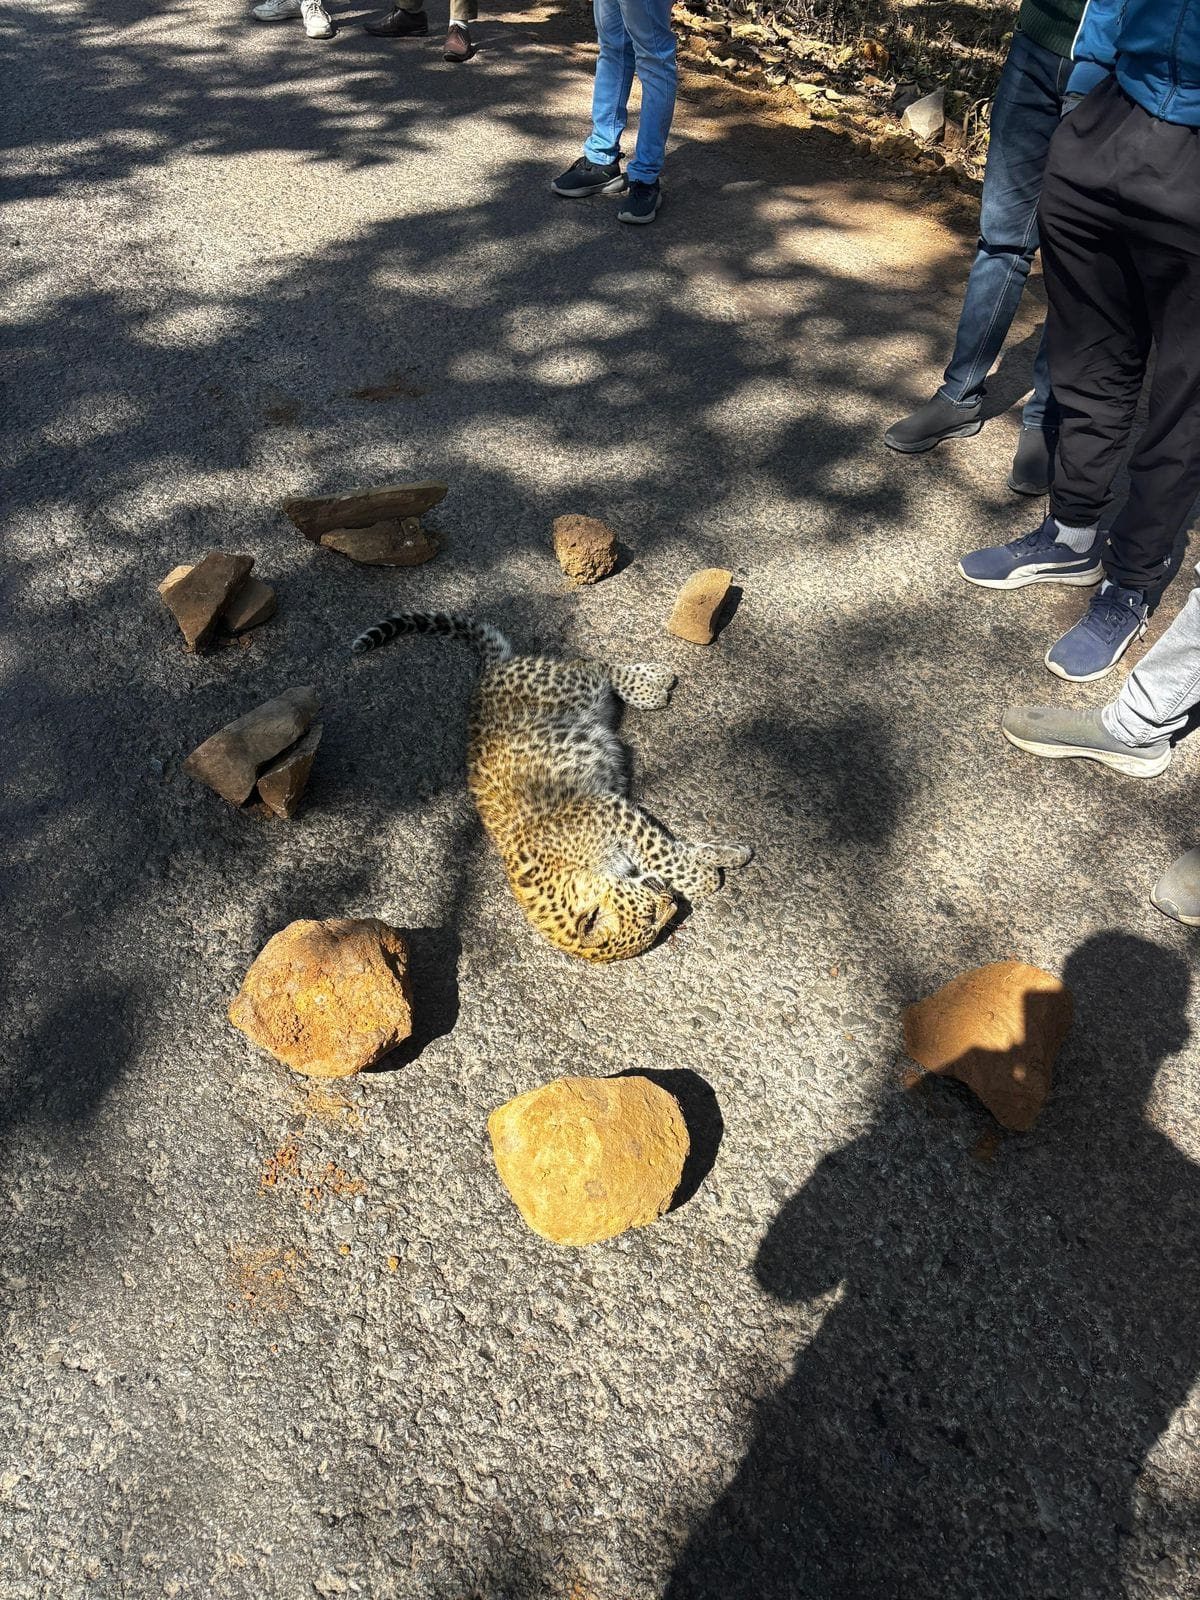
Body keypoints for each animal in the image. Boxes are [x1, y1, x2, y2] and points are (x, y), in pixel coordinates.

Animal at [350, 611, 753, 962]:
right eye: (652, 925)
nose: (672, 907)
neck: (566, 872)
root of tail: (490, 673)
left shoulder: (610, 811)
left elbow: (663, 853)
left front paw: (704, 876)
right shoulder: (618, 818)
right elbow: (668, 850)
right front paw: (723, 858)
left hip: (571, 689)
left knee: (594, 664)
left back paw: (653, 683)